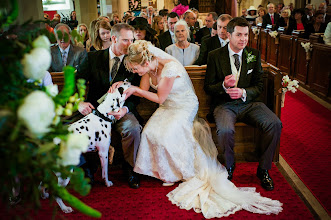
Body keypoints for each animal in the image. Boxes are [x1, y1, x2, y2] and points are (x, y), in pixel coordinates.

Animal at [40, 80, 131, 212]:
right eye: (121, 88)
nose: (126, 80)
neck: (101, 115)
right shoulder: (103, 153)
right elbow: (105, 172)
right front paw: (107, 183)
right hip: (64, 175)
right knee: (56, 194)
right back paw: (65, 208)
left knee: (41, 185)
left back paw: (44, 195)